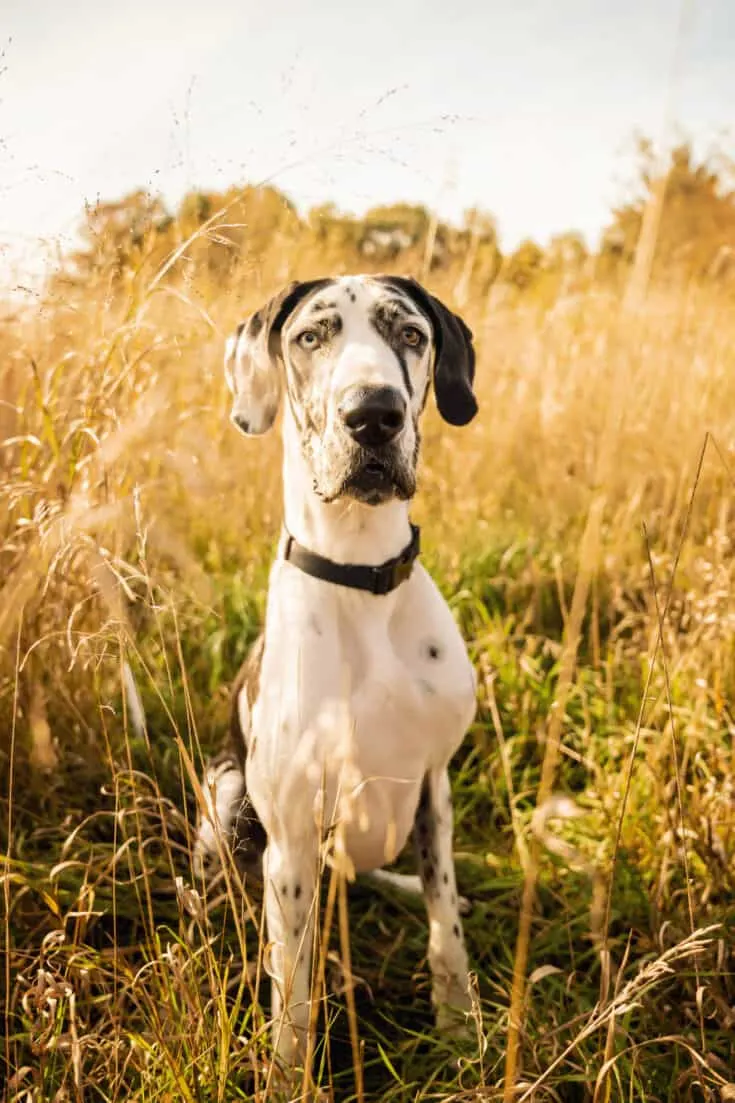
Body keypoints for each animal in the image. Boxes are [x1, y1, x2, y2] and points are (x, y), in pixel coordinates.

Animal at [194, 275, 478, 1076]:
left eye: (409, 333)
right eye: (310, 337)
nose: (372, 414)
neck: (362, 575)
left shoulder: (433, 783)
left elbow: (444, 926)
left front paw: (459, 1023)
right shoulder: (289, 836)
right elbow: (291, 992)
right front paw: (286, 1076)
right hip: (226, 789)